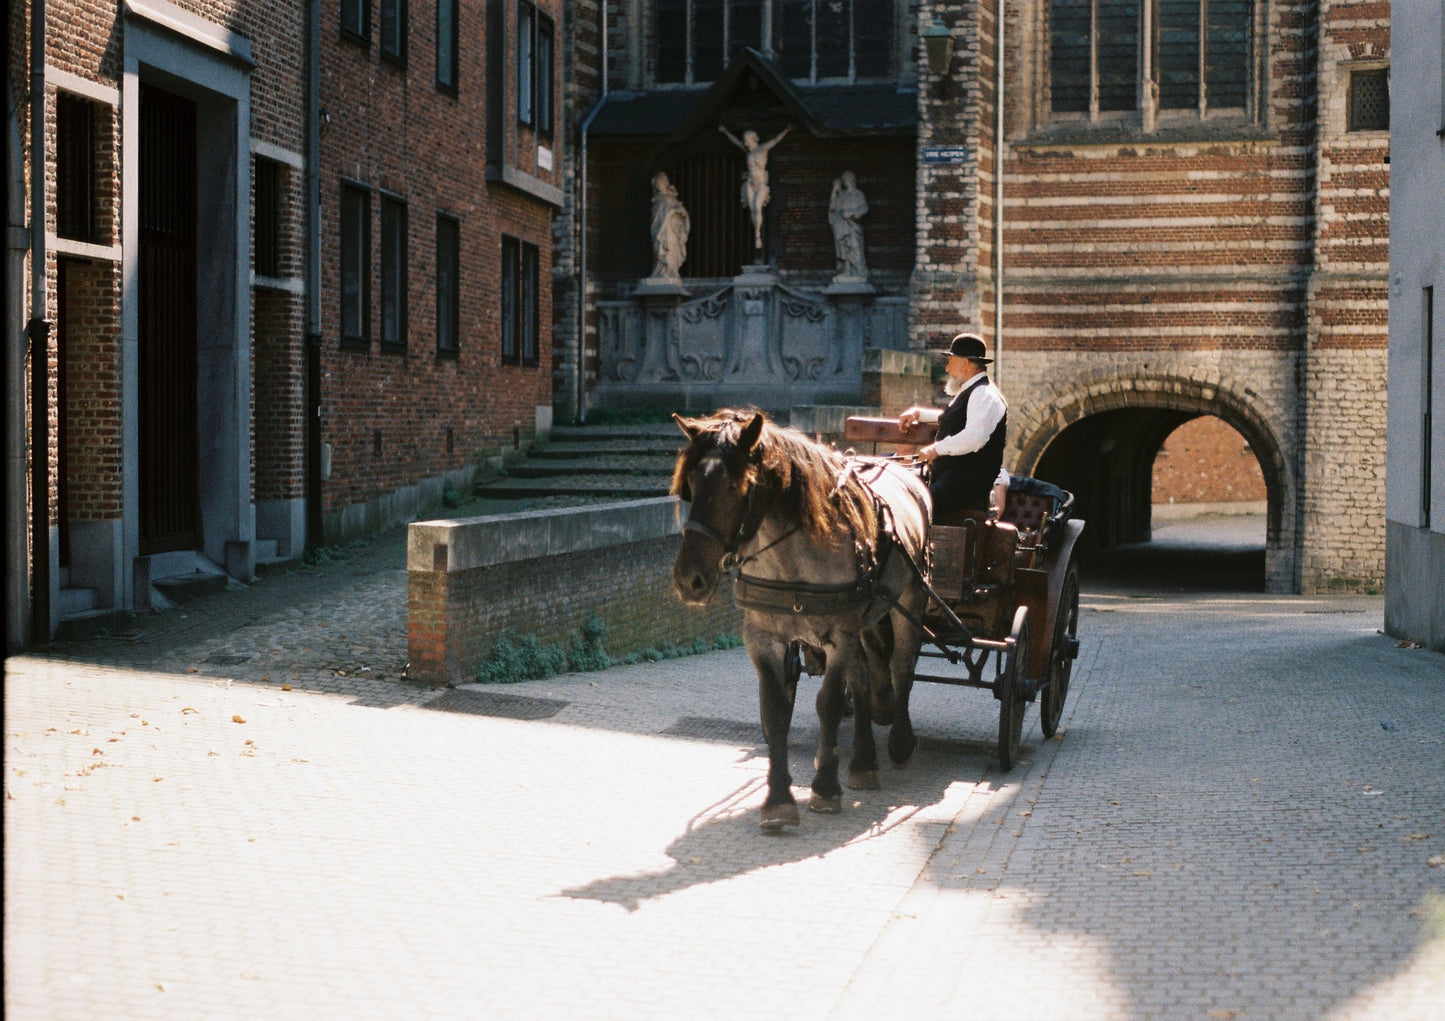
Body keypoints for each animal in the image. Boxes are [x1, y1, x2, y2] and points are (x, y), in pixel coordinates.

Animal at [670, 409, 933, 830]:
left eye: (735, 486)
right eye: (691, 483)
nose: (688, 580)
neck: (791, 554)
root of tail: (906, 471)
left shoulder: (839, 635)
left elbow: (829, 703)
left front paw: (825, 787)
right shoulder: (762, 638)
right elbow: (776, 712)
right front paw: (778, 800)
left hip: (910, 598)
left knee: (901, 665)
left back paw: (900, 743)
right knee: (864, 680)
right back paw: (863, 761)